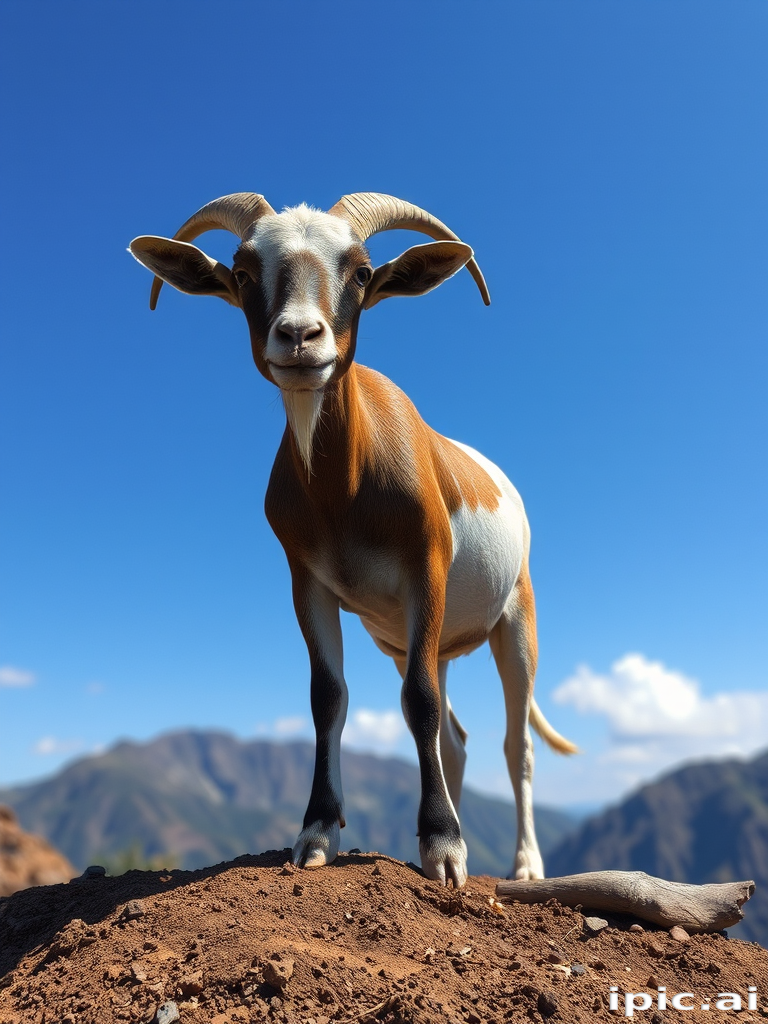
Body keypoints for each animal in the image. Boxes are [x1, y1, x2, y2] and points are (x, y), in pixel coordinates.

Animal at [129, 191, 577, 886]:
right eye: (243, 272)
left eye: (362, 271)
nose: (299, 337)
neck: (347, 490)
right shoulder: (308, 583)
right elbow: (328, 698)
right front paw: (320, 834)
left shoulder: (426, 569)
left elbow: (417, 701)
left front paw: (444, 847)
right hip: (425, 641)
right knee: (455, 739)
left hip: (515, 619)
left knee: (515, 741)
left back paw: (526, 865)